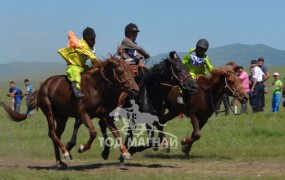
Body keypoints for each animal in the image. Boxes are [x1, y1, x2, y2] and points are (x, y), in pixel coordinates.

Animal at [0, 56, 138, 169]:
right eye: (120, 72)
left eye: (131, 71)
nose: (135, 89)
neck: (96, 88)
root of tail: (43, 85)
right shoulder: (83, 113)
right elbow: (93, 133)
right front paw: (81, 148)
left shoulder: (103, 114)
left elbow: (115, 132)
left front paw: (125, 152)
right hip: (49, 110)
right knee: (52, 133)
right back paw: (65, 152)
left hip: (62, 117)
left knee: (56, 134)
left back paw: (59, 162)